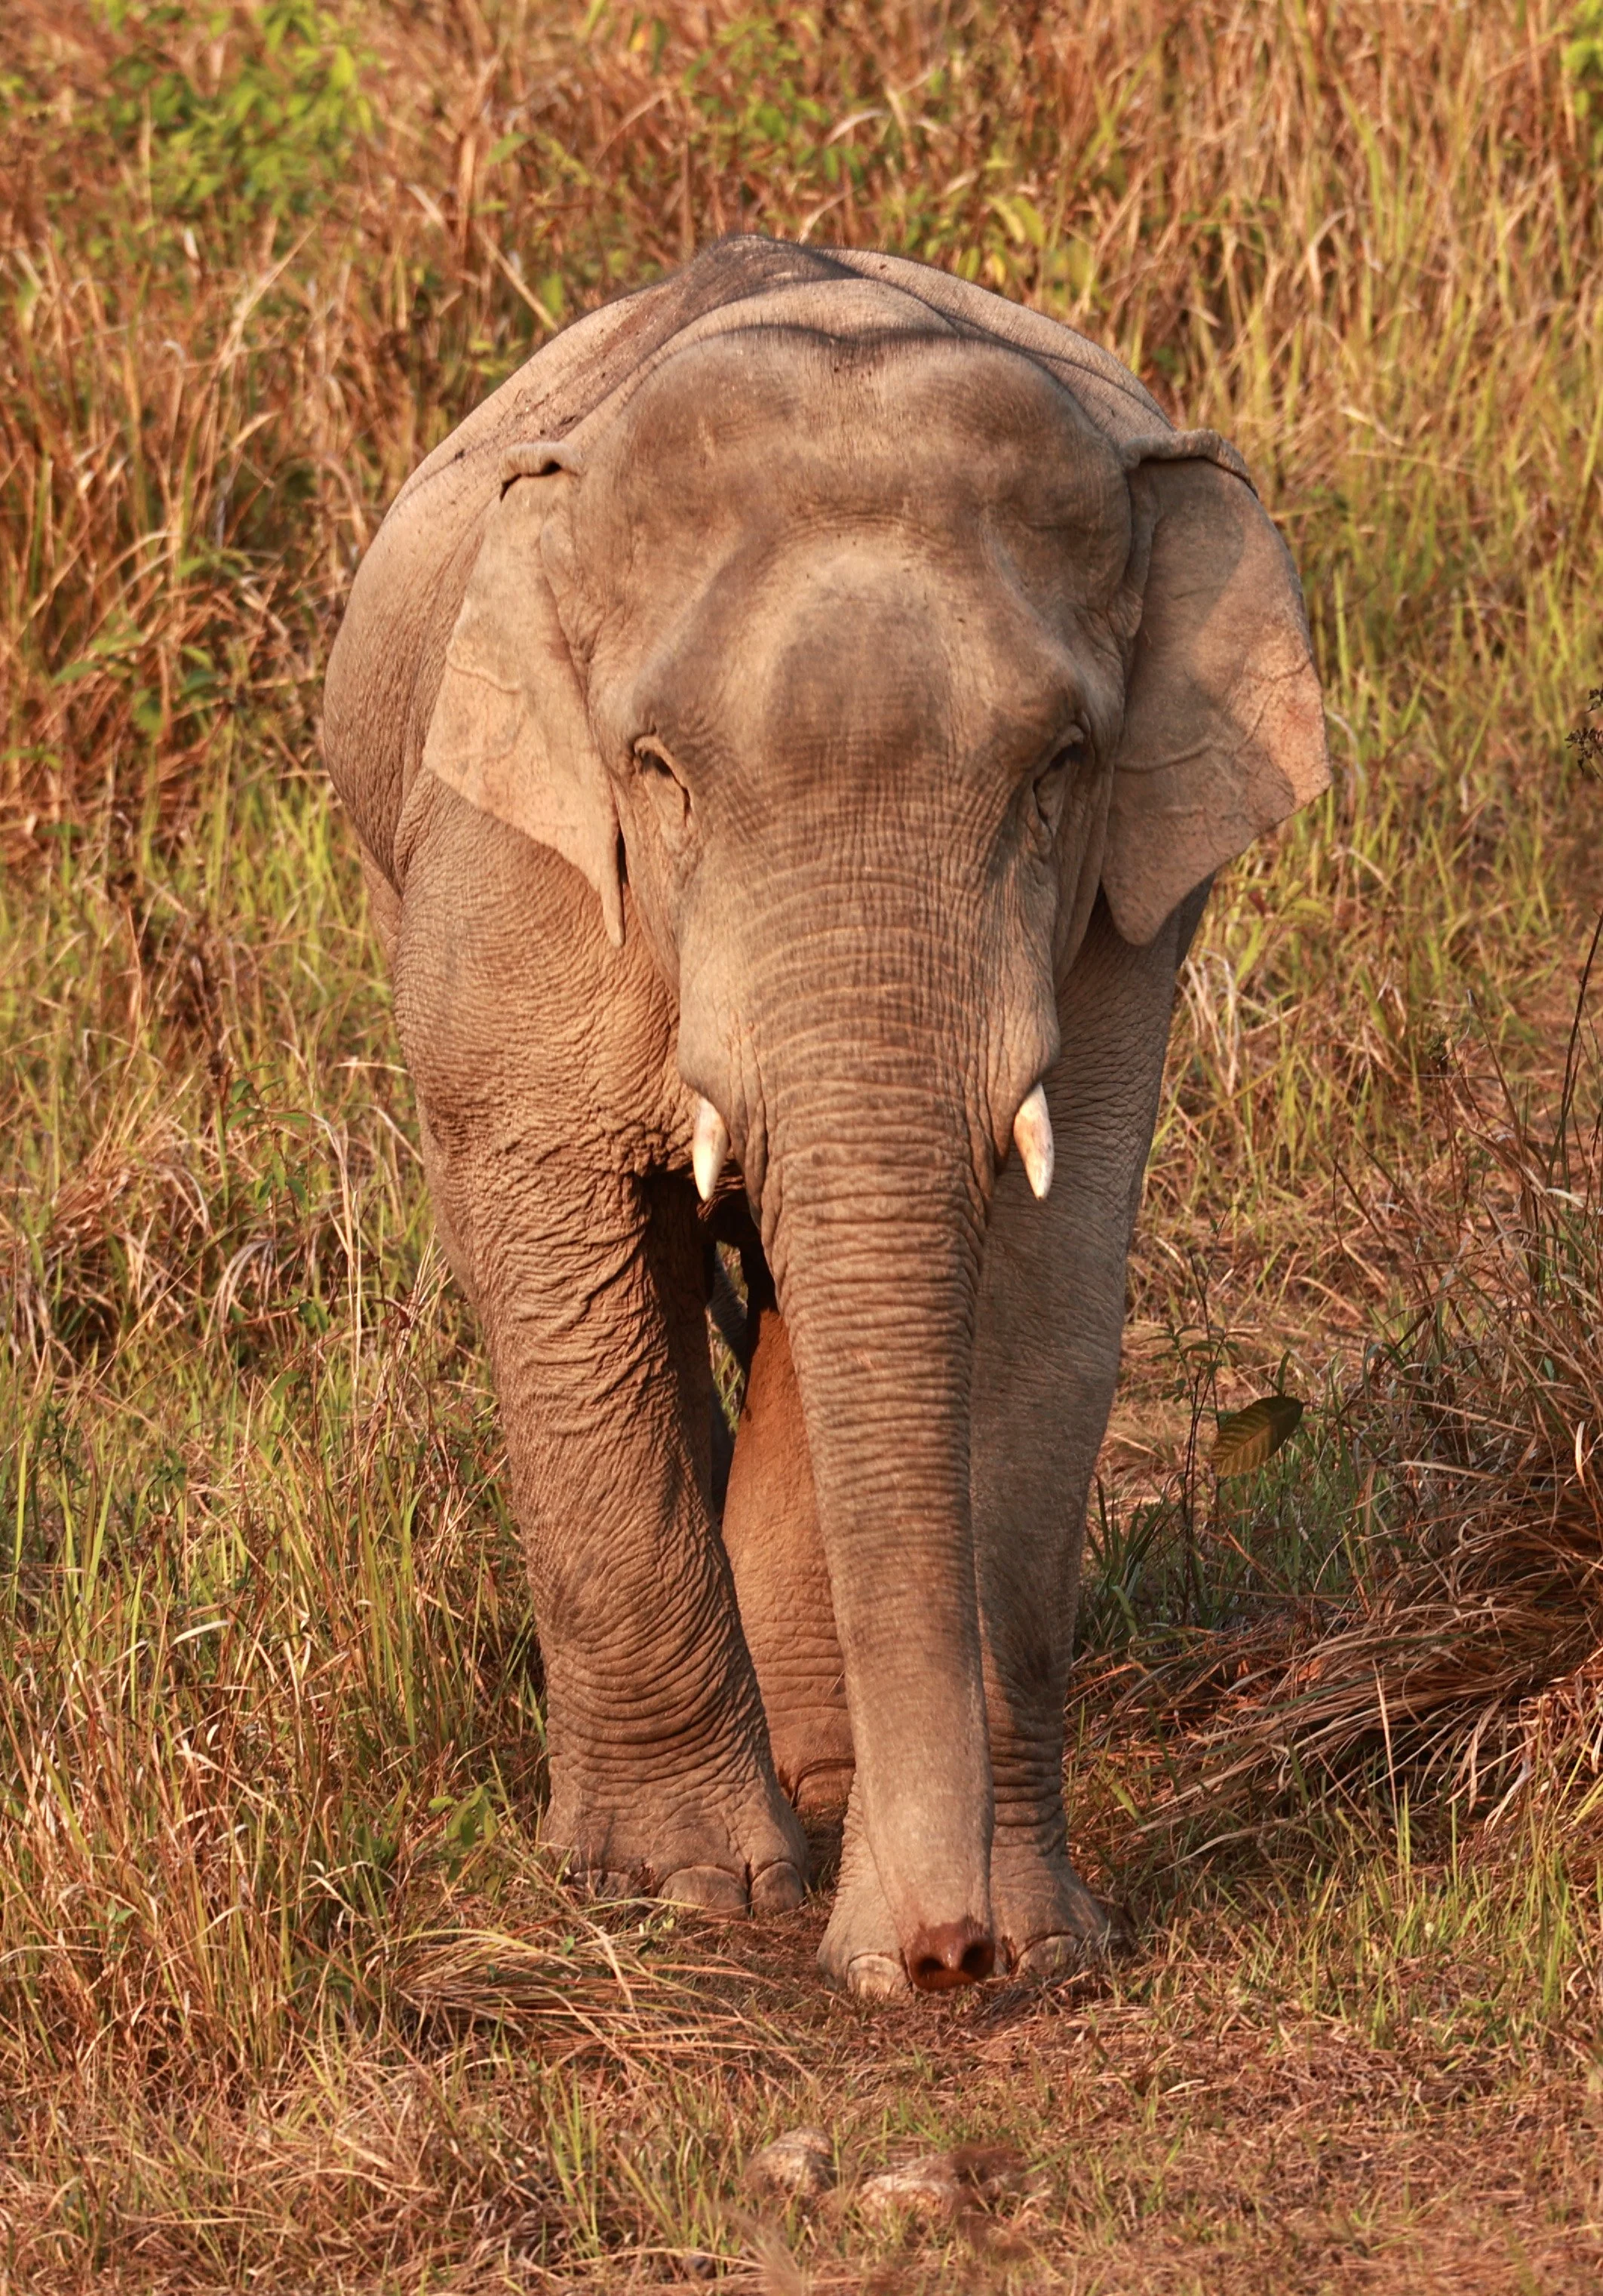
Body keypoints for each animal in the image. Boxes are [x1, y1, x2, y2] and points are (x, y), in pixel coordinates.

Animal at [322, 235, 1327, 1999]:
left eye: (1061, 764)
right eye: (655, 767)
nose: (939, 1956)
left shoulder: (1121, 928)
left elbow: (1048, 1285)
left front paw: (1032, 1938)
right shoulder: (506, 867)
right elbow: (555, 1232)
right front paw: (678, 1891)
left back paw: (826, 1780)